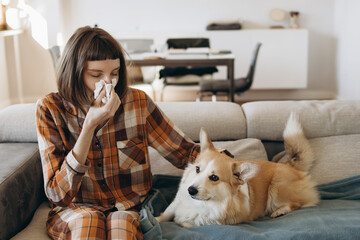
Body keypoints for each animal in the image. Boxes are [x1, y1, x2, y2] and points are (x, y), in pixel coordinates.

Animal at [156, 113, 320, 228]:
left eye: (214, 178)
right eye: (197, 169)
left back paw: (279, 211)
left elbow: (185, 222)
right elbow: (166, 214)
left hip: (277, 188)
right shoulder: (176, 202)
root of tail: (289, 164)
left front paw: (180, 221)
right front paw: (156, 219)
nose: (190, 190)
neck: (202, 203)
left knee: (296, 203)